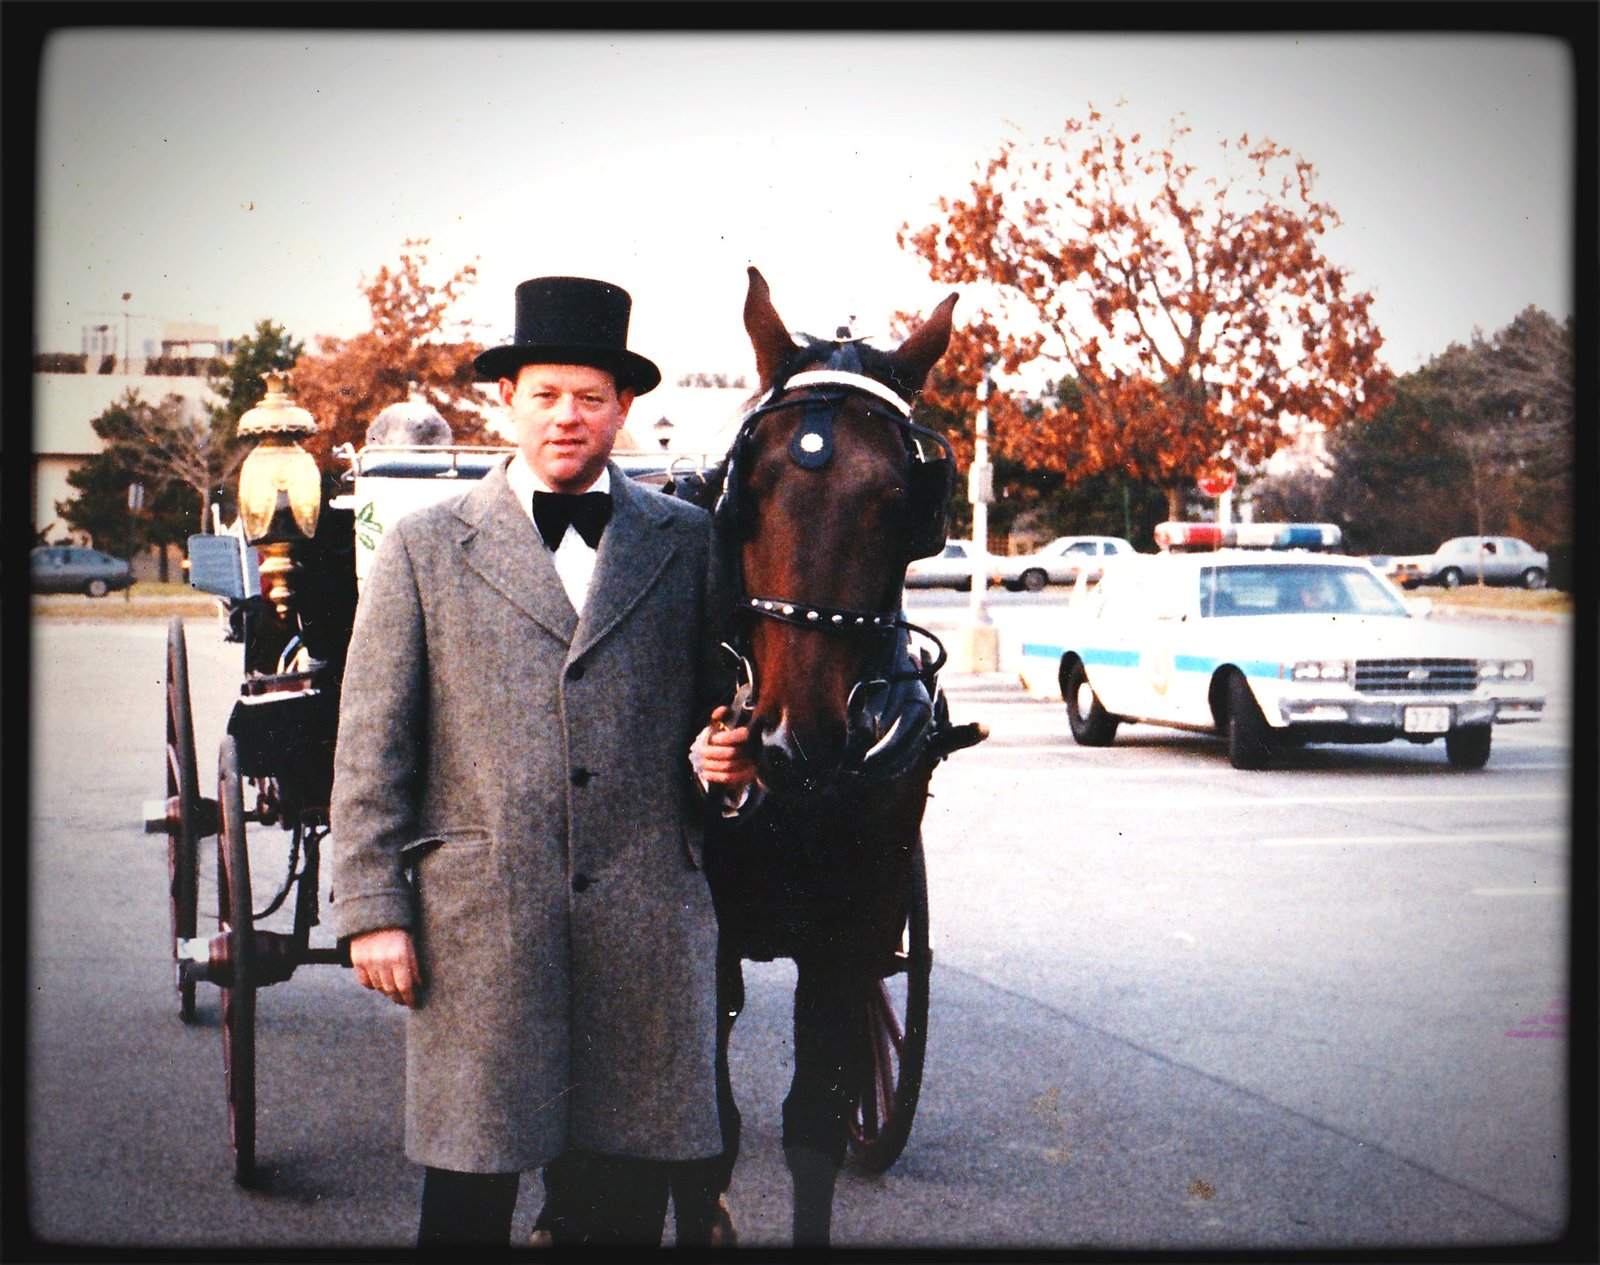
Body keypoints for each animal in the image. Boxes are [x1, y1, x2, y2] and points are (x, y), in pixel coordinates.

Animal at [668, 267, 979, 1247]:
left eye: (901, 497)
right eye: (752, 482)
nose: (788, 740)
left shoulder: (855, 932)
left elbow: (814, 1125)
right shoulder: (702, 934)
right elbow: (709, 1139)